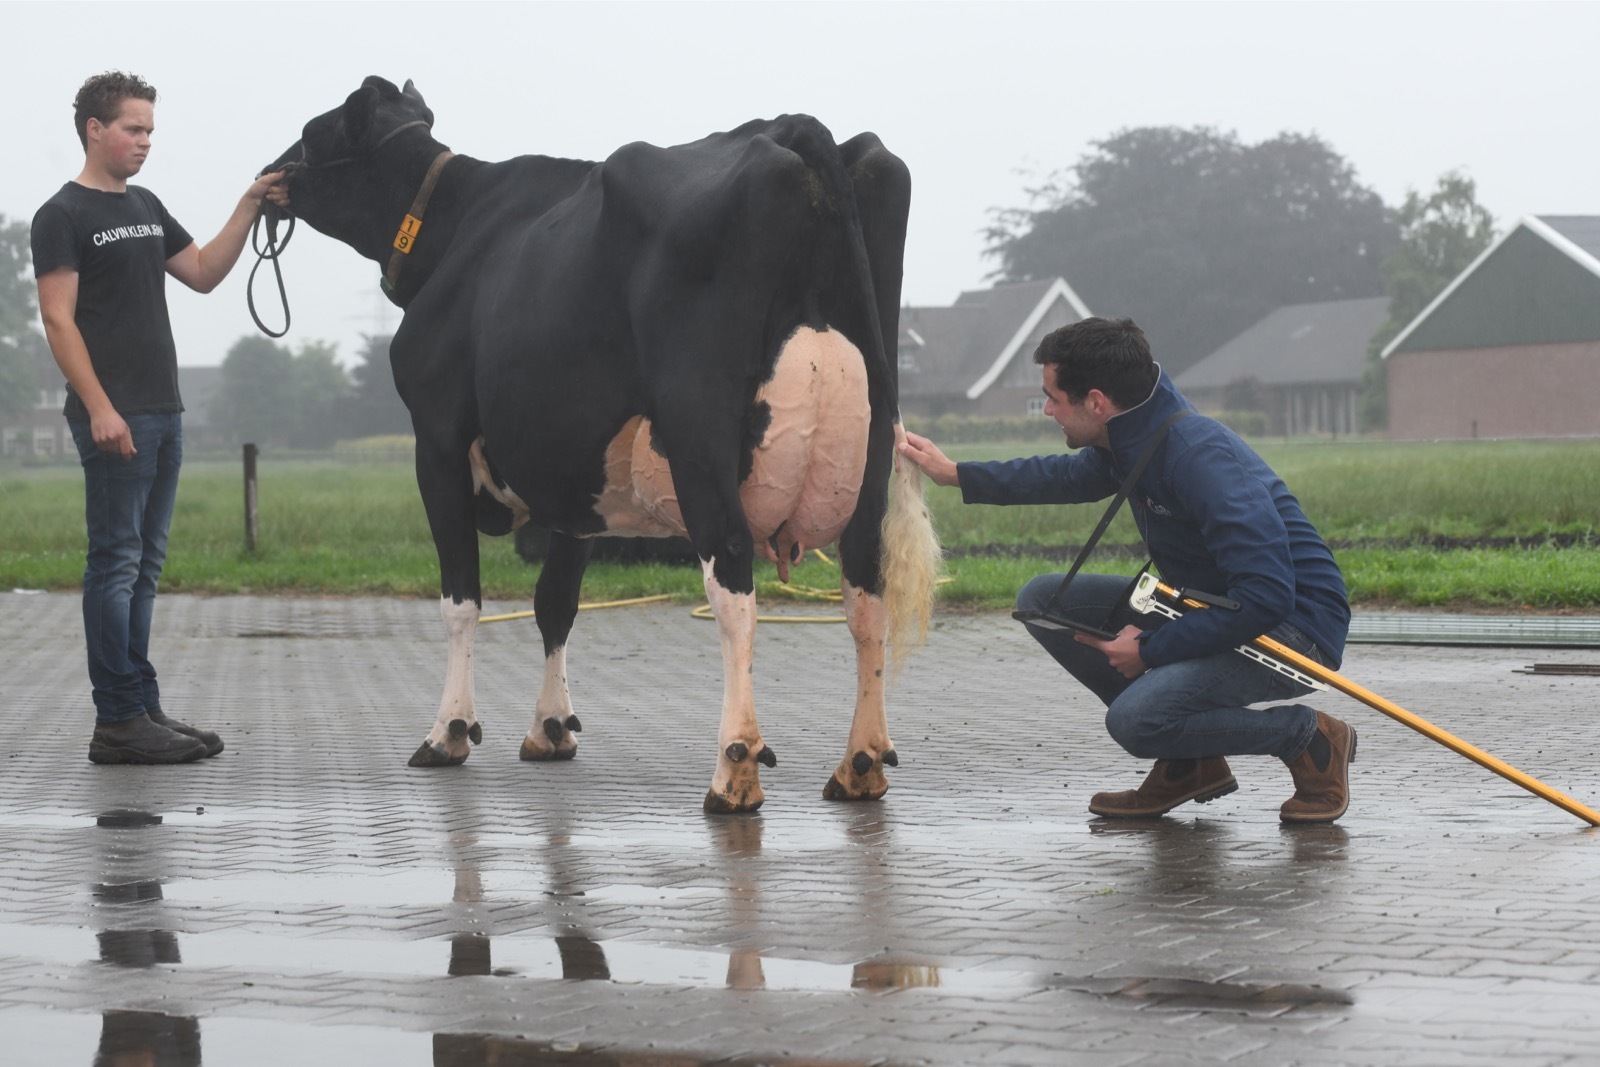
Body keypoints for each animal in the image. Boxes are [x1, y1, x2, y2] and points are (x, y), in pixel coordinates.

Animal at [262, 79, 934, 812]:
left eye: (315, 132)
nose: (267, 177)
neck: (456, 230)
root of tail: (794, 128)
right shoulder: (576, 473)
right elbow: (556, 599)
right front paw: (551, 727)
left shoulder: (436, 439)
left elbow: (461, 599)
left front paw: (449, 732)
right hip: (871, 444)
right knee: (866, 587)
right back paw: (860, 763)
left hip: (699, 434)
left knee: (733, 580)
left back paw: (734, 767)